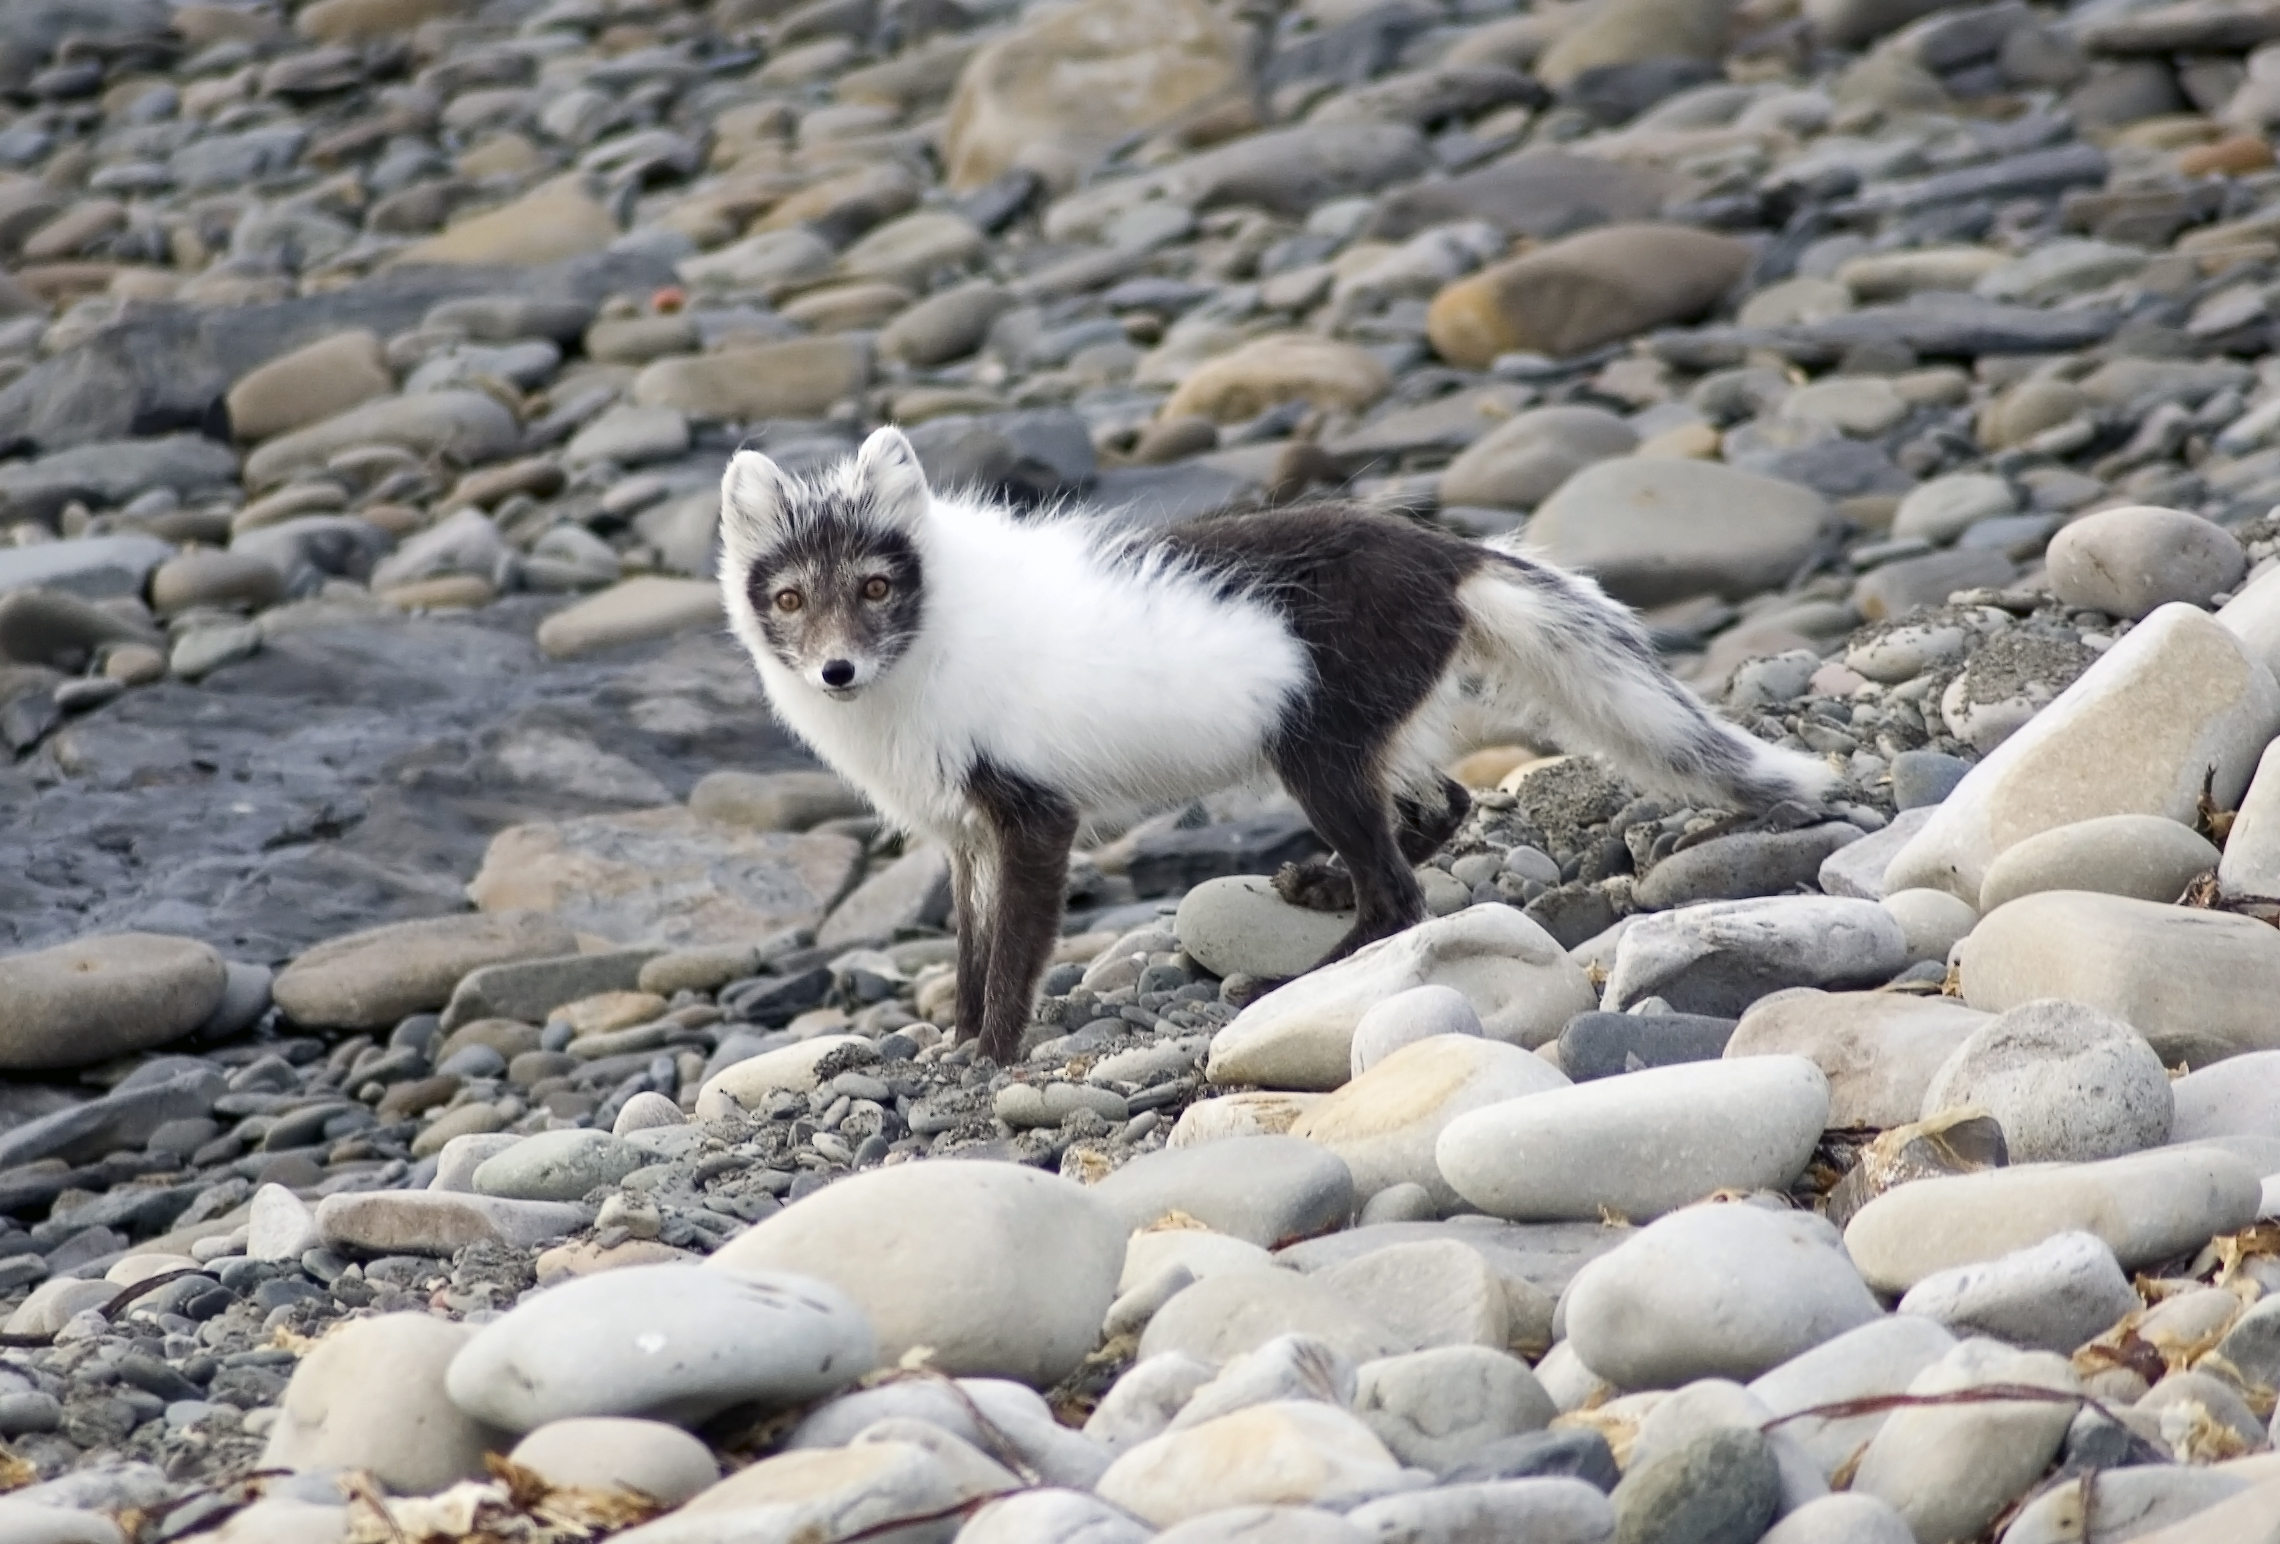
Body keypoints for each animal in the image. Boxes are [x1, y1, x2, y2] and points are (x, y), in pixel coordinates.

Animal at [720, 426, 1842, 1067]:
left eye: (876, 585)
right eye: (791, 598)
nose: (836, 672)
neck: (933, 648)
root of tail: (1443, 551)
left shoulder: (1034, 815)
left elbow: (1015, 957)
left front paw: (988, 1054)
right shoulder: (960, 835)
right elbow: (967, 949)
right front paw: (950, 1038)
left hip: (1314, 752)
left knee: (1399, 895)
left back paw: (1294, 978)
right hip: (1364, 737)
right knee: (1442, 808)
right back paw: (1312, 886)